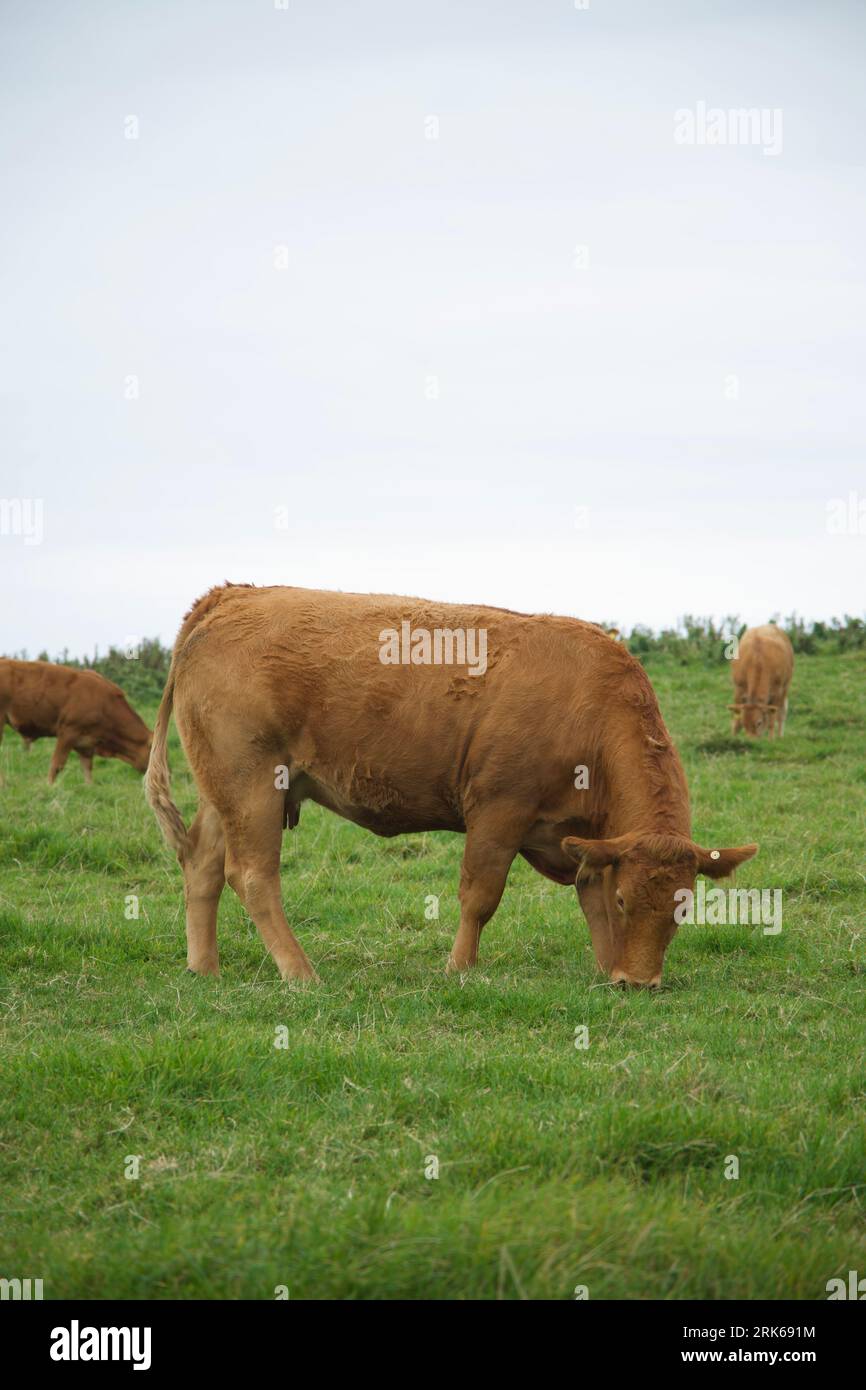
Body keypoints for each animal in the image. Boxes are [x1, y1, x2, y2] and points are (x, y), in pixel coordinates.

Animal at [145, 584, 757, 988]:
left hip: (226, 790)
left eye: (683, 909)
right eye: (632, 898)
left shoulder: (587, 837)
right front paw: (460, 967)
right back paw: (300, 972)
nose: (641, 983)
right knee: (252, 876)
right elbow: (480, 896)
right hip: (251, 785)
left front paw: (609, 968)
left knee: (202, 865)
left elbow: (591, 900)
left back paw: (205, 968)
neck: (592, 711)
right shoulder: (498, 809)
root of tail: (231, 596)